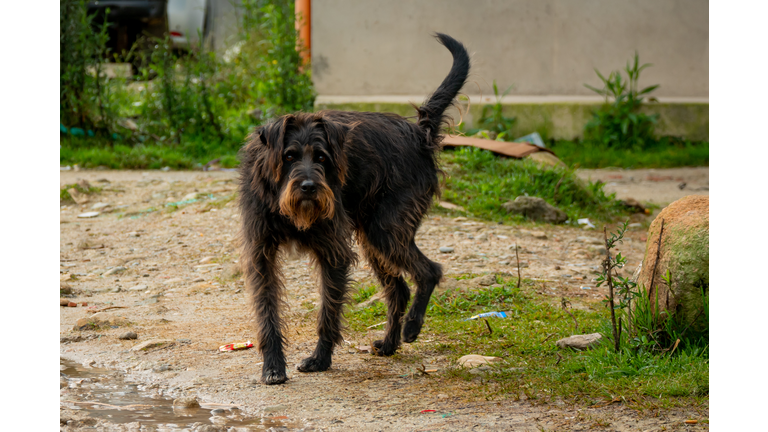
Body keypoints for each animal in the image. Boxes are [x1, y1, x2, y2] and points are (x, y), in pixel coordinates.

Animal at [238, 33, 468, 384]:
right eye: (289, 156)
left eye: (321, 157)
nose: (309, 187)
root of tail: (418, 132)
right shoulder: (261, 254)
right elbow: (267, 312)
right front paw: (274, 366)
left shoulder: (333, 252)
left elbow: (328, 311)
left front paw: (320, 359)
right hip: (376, 238)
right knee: (399, 288)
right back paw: (389, 343)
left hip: (385, 231)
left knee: (429, 271)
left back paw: (412, 327)